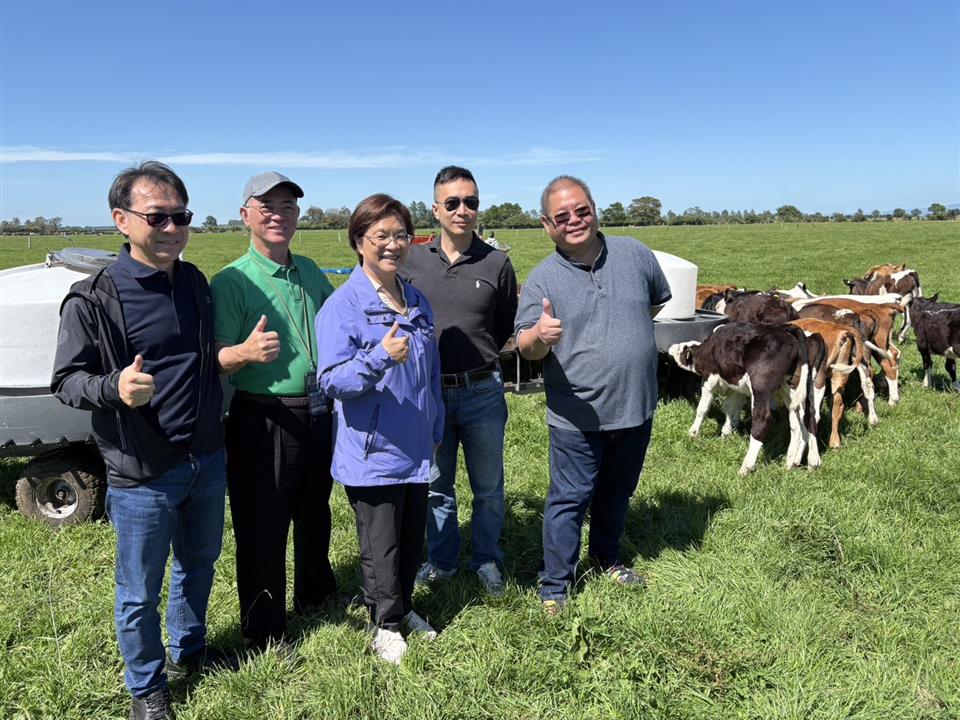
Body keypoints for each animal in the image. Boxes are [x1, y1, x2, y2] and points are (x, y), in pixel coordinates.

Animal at [668, 322, 818, 475]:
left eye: (682, 349)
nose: (672, 346)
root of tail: (789, 331)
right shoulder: (737, 387)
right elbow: (729, 408)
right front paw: (725, 434)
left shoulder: (709, 379)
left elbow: (703, 409)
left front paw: (693, 433)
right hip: (796, 389)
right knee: (805, 419)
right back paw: (800, 463)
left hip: (760, 386)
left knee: (762, 420)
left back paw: (746, 467)